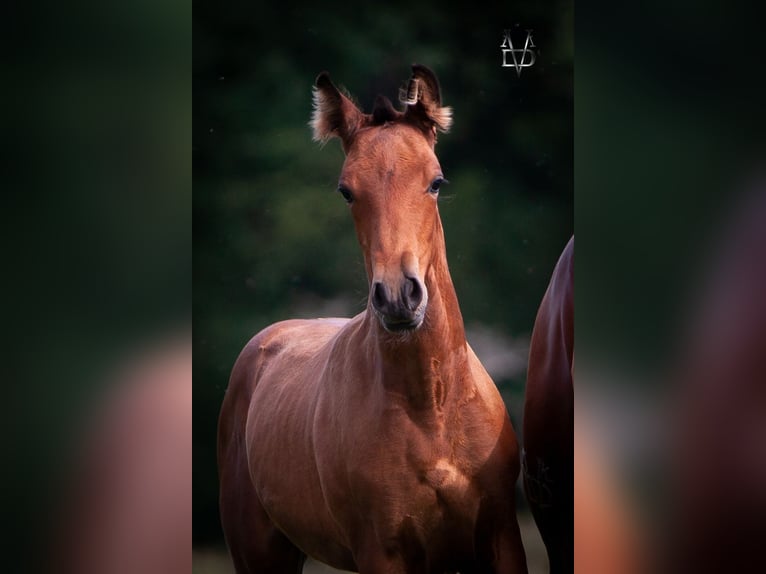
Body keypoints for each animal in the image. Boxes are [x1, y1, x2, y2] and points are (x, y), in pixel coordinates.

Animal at [216, 66, 528, 574]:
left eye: (436, 181)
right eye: (347, 191)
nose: (399, 297)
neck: (431, 409)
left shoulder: (500, 536)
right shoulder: (381, 551)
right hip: (260, 552)